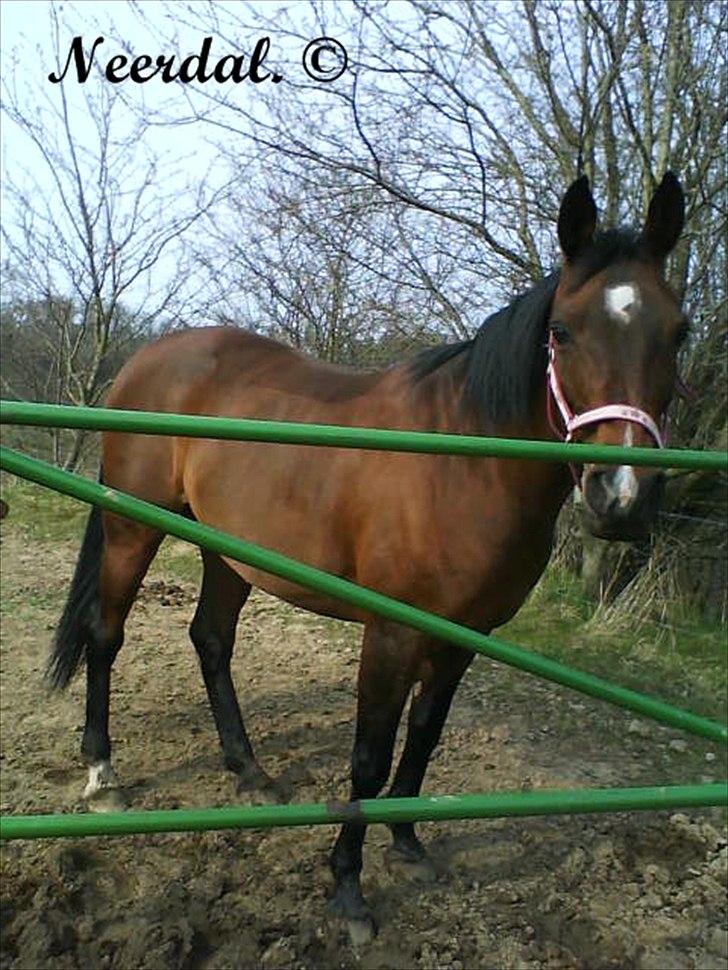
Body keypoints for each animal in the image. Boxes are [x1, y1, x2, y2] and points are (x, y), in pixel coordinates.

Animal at [48, 174, 684, 936]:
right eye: (562, 331)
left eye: (679, 332)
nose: (623, 497)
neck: (462, 464)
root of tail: (147, 358)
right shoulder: (392, 633)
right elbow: (370, 759)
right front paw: (348, 886)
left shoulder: (464, 637)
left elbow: (425, 738)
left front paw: (407, 842)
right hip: (130, 528)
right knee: (105, 636)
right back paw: (102, 775)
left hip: (229, 552)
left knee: (211, 639)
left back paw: (249, 771)